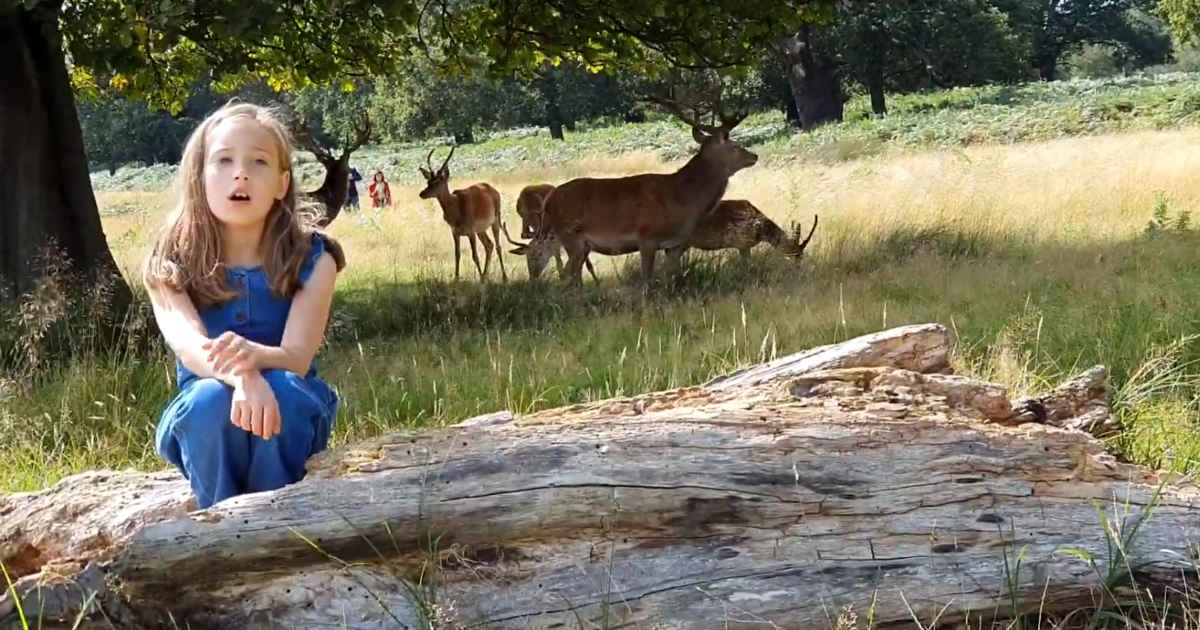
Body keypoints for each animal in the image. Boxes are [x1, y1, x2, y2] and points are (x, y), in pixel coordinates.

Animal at [417, 145, 506, 282]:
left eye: (437, 181)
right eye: (428, 181)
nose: (422, 193)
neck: (456, 207)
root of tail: (493, 190)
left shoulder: (470, 232)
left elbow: (474, 255)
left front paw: (479, 278)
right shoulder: (455, 233)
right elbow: (457, 254)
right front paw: (456, 278)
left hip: (495, 221)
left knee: (497, 246)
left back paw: (503, 277)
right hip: (481, 230)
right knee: (489, 245)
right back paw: (485, 276)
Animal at [508, 88, 758, 284]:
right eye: (735, 145)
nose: (754, 156)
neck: (684, 199)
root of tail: (549, 201)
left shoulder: (675, 244)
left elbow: (672, 277)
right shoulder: (646, 237)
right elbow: (647, 280)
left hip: (579, 244)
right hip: (571, 237)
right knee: (568, 276)